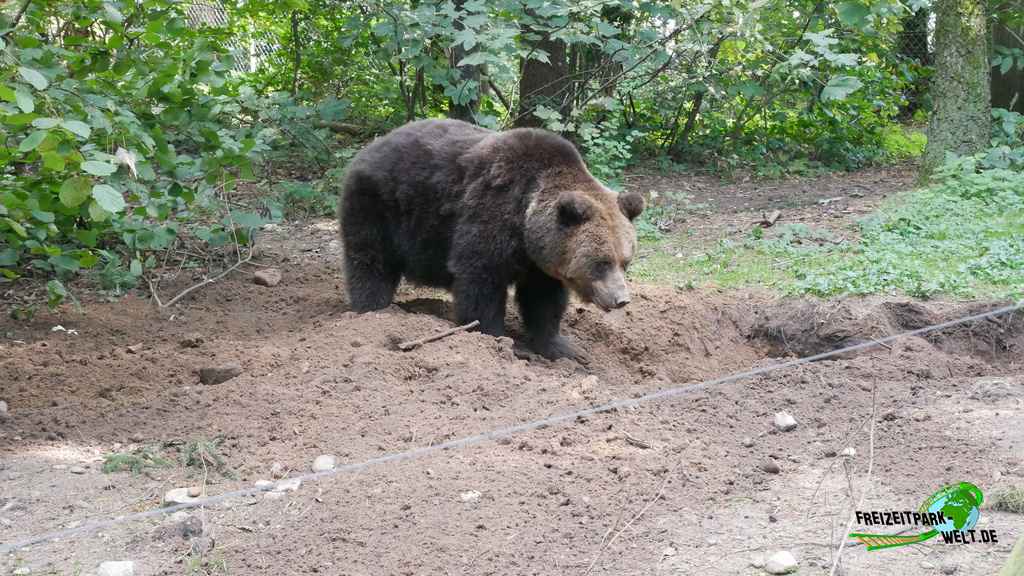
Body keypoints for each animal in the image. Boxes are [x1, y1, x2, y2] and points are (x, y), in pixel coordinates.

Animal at [344, 117, 647, 358]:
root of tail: (371, 146)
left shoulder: (541, 262)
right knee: (370, 260)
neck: (526, 222)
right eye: (601, 262)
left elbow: (544, 301)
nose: (621, 299)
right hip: (379, 205)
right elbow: (480, 281)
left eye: (625, 261)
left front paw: (563, 347)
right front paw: (496, 338)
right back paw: (374, 308)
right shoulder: (491, 213)